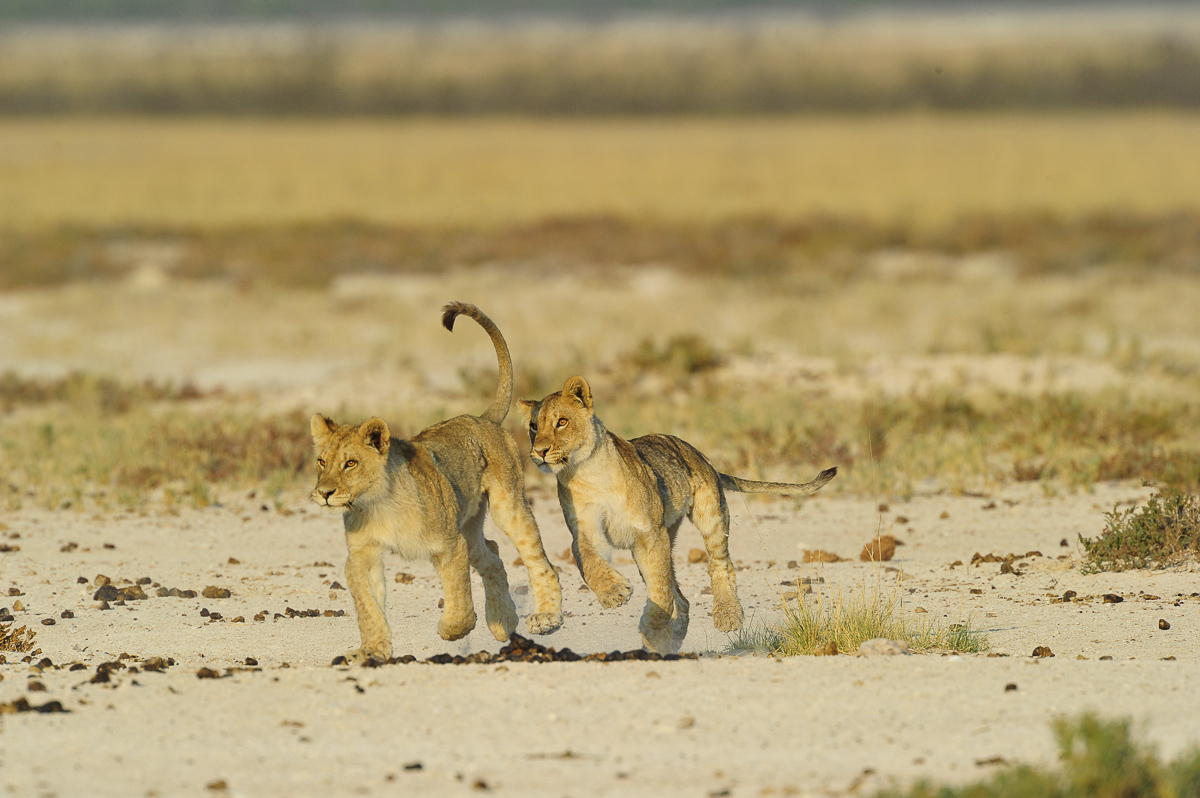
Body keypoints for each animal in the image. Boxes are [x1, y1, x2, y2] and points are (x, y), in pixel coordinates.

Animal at [310, 302, 563, 664]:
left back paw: (546, 618)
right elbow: (368, 606)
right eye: (322, 462)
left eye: (350, 463)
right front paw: (372, 650)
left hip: (507, 507)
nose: (324, 493)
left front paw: (452, 630)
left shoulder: (449, 545)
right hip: (469, 523)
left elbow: (459, 596)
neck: (378, 505)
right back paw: (503, 622)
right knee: (493, 554)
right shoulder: (362, 556)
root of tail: (480, 418)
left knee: (538, 560)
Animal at [519, 376, 836, 654]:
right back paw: (674, 638)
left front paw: (653, 631)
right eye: (533, 426)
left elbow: (660, 593)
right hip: (661, 538)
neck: (586, 470)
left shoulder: (650, 534)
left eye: (562, 421)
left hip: (709, 515)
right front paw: (614, 593)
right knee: (680, 599)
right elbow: (591, 564)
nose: (540, 451)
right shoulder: (587, 531)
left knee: (719, 565)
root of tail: (698, 454)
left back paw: (727, 615)